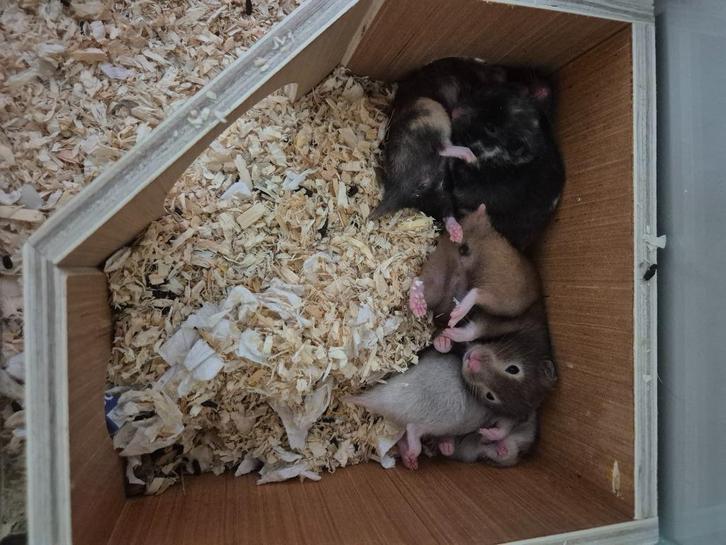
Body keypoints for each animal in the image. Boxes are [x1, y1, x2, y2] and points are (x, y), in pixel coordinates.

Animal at [346, 348, 499, 470]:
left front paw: (445, 447)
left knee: (404, 436)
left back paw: (410, 460)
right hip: (444, 418)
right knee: (413, 428)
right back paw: (414, 453)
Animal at [370, 97, 476, 242]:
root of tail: (399, 188)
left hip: (432, 197)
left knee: (446, 211)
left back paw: (456, 233)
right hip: (433, 131)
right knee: (444, 149)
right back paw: (471, 157)